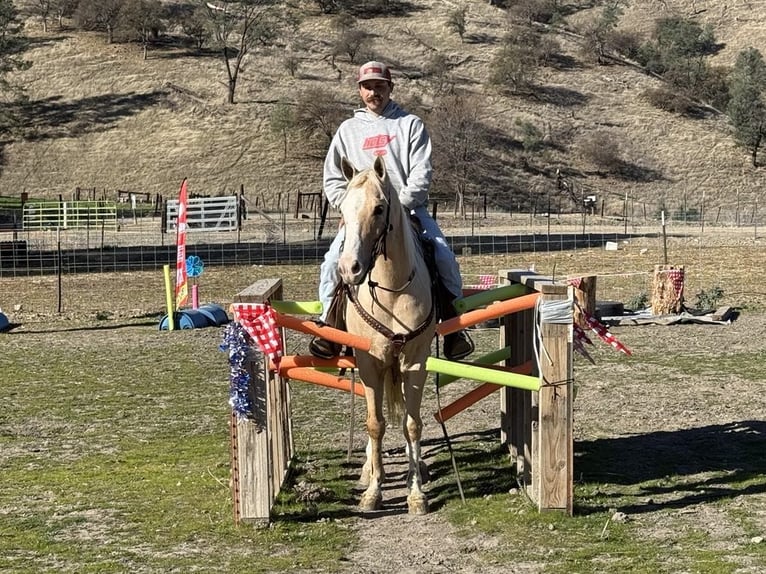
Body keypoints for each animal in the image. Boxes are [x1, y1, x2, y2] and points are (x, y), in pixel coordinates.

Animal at [336, 155, 436, 515]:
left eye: (379, 208)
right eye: (341, 208)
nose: (349, 268)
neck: (391, 290)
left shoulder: (415, 363)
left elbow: (412, 424)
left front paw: (416, 492)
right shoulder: (368, 364)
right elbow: (374, 424)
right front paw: (373, 491)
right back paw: (368, 468)